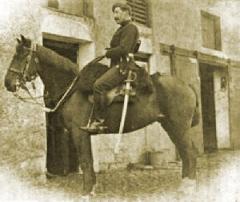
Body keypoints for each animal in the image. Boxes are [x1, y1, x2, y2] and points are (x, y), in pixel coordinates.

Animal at [5, 35, 199, 195]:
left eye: (21, 56)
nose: (8, 83)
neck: (72, 88)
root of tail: (187, 85)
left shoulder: (79, 132)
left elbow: (85, 161)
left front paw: (86, 191)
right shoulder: (83, 134)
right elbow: (89, 161)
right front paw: (92, 188)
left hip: (179, 126)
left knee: (189, 152)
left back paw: (189, 185)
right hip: (170, 126)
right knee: (185, 152)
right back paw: (185, 183)